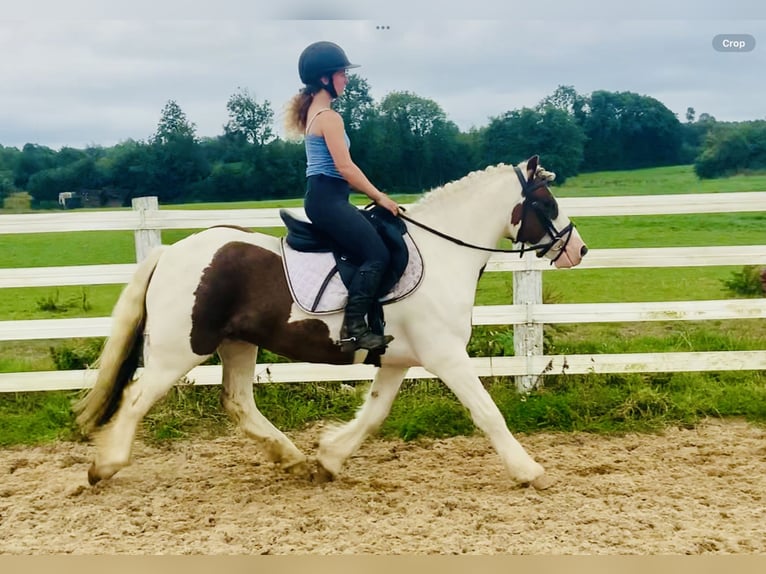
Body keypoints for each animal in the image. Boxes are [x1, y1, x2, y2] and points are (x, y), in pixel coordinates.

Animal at [75, 156, 588, 490]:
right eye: (546, 201)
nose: (578, 249)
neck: (443, 252)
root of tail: (169, 252)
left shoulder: (397, 359)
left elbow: (375, 414)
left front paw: (329, 458)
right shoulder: (446, 355)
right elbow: (487, 412)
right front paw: (530, 472)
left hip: (237, 343)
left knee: (238, 402)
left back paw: (294, 462)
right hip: (178, 349)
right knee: (137, 398)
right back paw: (104, 467)